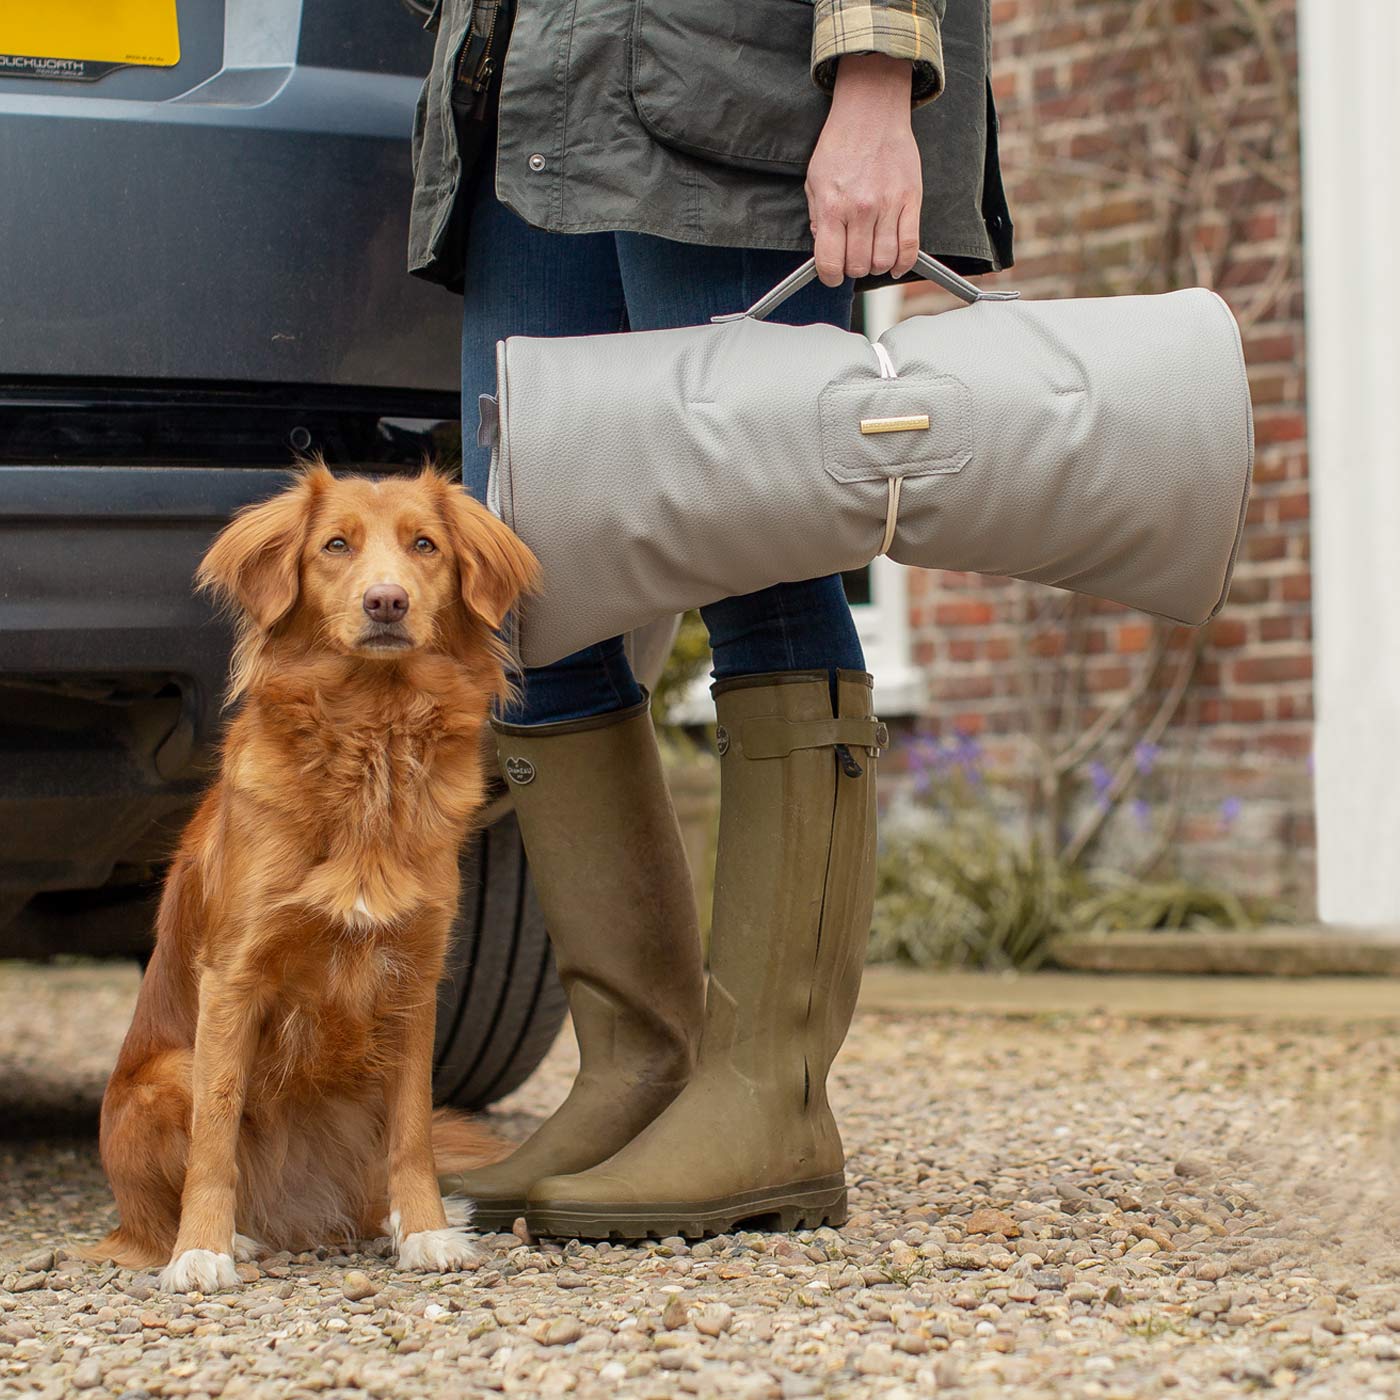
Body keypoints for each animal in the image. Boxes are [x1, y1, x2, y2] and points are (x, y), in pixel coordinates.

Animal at [83, 464, 534, 1293]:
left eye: (425, 545)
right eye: (335, 545)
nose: (386, 601)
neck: (371, 735)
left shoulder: (414, 979)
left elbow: (414, 1129)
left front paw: (425, 1232)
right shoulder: (232, 976)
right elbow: (217, 1128)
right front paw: (201, 1250)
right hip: (166, 1075)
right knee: (151, 1213)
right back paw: (232, 1237)